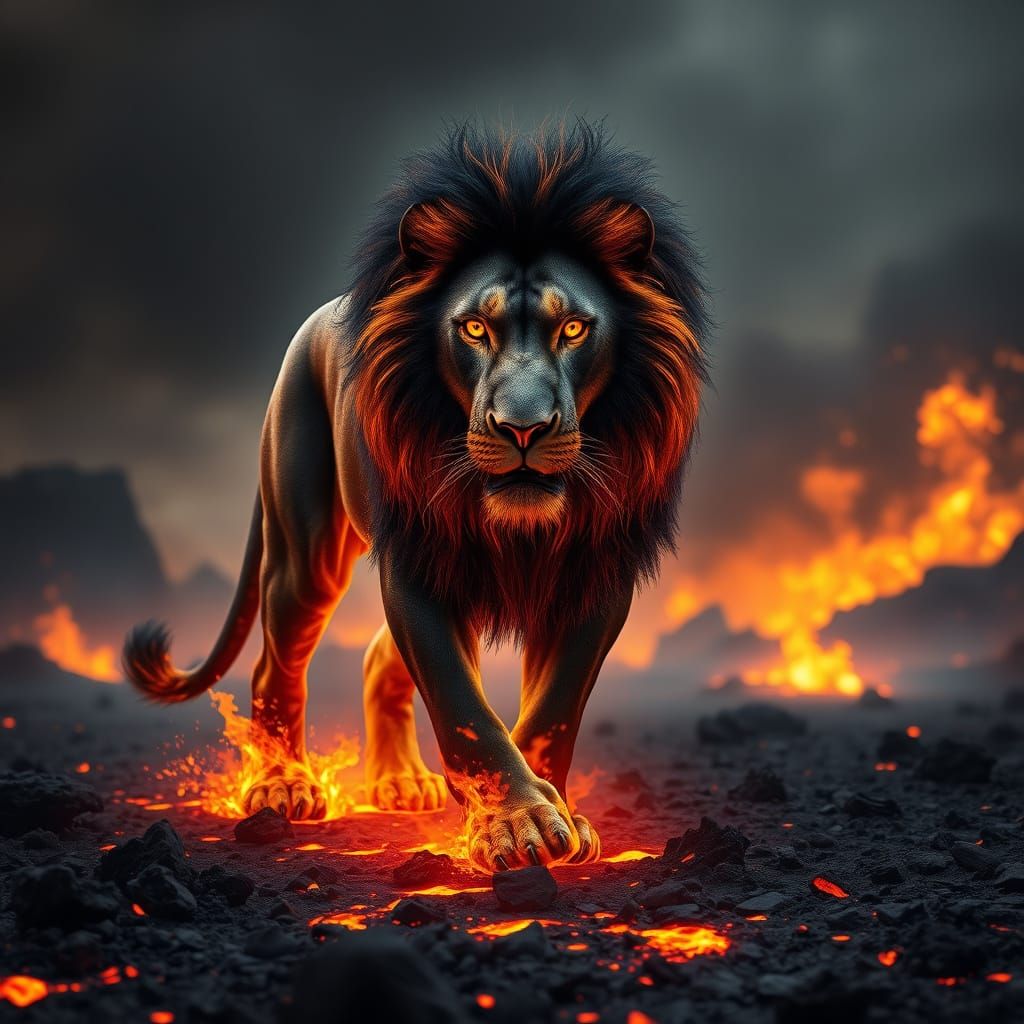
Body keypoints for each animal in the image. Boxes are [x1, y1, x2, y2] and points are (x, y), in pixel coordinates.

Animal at [123, 122, 708, 872]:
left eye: (573, 329)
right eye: (475, 328)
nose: (523, 428)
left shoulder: (594, 574)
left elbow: (553, 713)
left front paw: (559, 814)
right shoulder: (418, 563)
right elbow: (466, 710)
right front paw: (515, 822)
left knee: (377, 656)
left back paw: (399, 782)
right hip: (306, 552)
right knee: (273, 664)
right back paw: (282, 785)